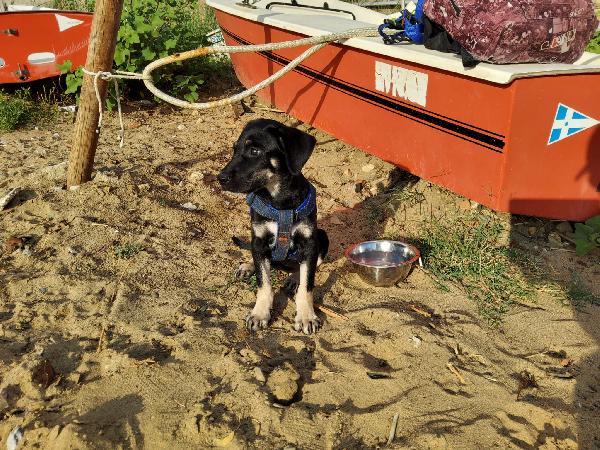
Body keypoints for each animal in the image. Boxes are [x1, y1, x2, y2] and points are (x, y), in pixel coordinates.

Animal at [218, 119, 328, 334]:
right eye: (234, 149)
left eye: (254, 151)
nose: (220, 178)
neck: (279, 200)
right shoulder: (259, 239)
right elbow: (264, 284)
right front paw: (260, 313)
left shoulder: (310, 242)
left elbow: (307, 284)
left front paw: (306, 316)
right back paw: (249, 265)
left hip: (322, 236)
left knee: (306, 265)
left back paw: (294, 277)